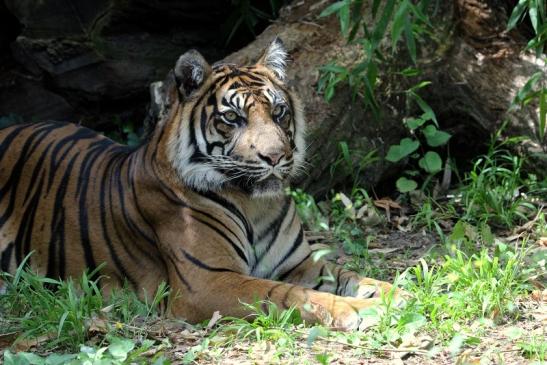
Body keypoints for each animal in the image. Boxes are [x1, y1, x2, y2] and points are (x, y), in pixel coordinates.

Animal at [0, 37, 404, 330]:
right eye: (233, 117)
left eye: (279, 112)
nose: (275, 157)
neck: (256, 204)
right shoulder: (208, 282)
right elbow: (287, 295)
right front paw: (355, 310)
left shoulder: (300, 265)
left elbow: (350, 275)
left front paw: (396, 291)